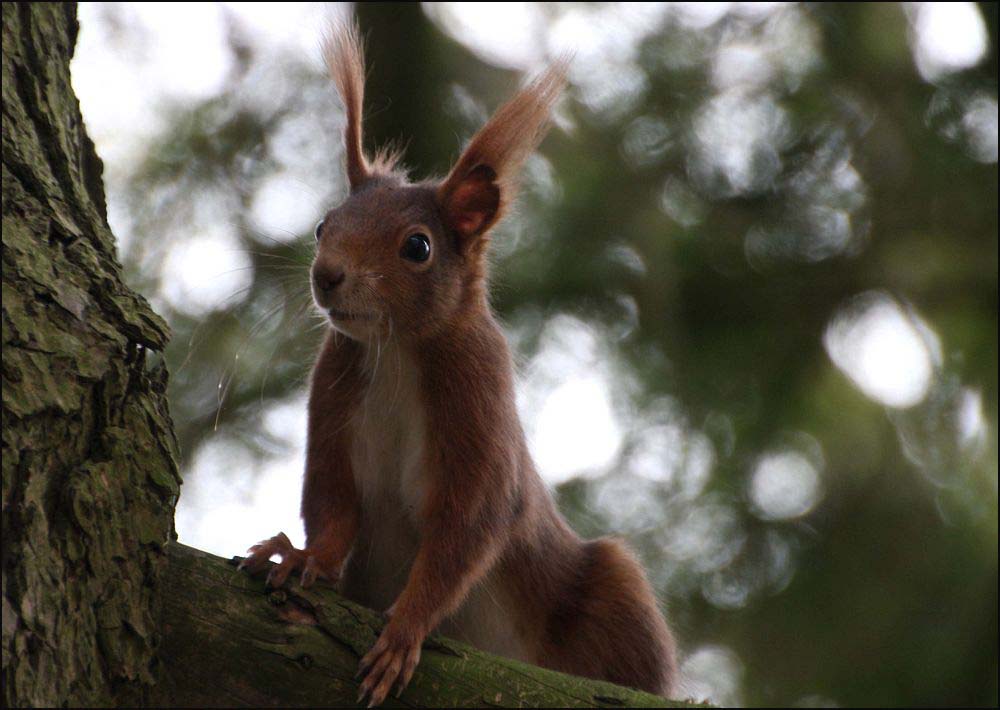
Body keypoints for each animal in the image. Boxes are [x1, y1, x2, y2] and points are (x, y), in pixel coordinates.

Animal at [240, 20, 680, 708]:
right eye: (321, 226)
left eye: (418, 247)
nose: (326, 275)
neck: (396, 351)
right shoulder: (336, 399)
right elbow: (334, 505)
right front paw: (302, 557)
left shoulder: (478, 405)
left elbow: (463, 535)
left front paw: (405, 629)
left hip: (611, 593)